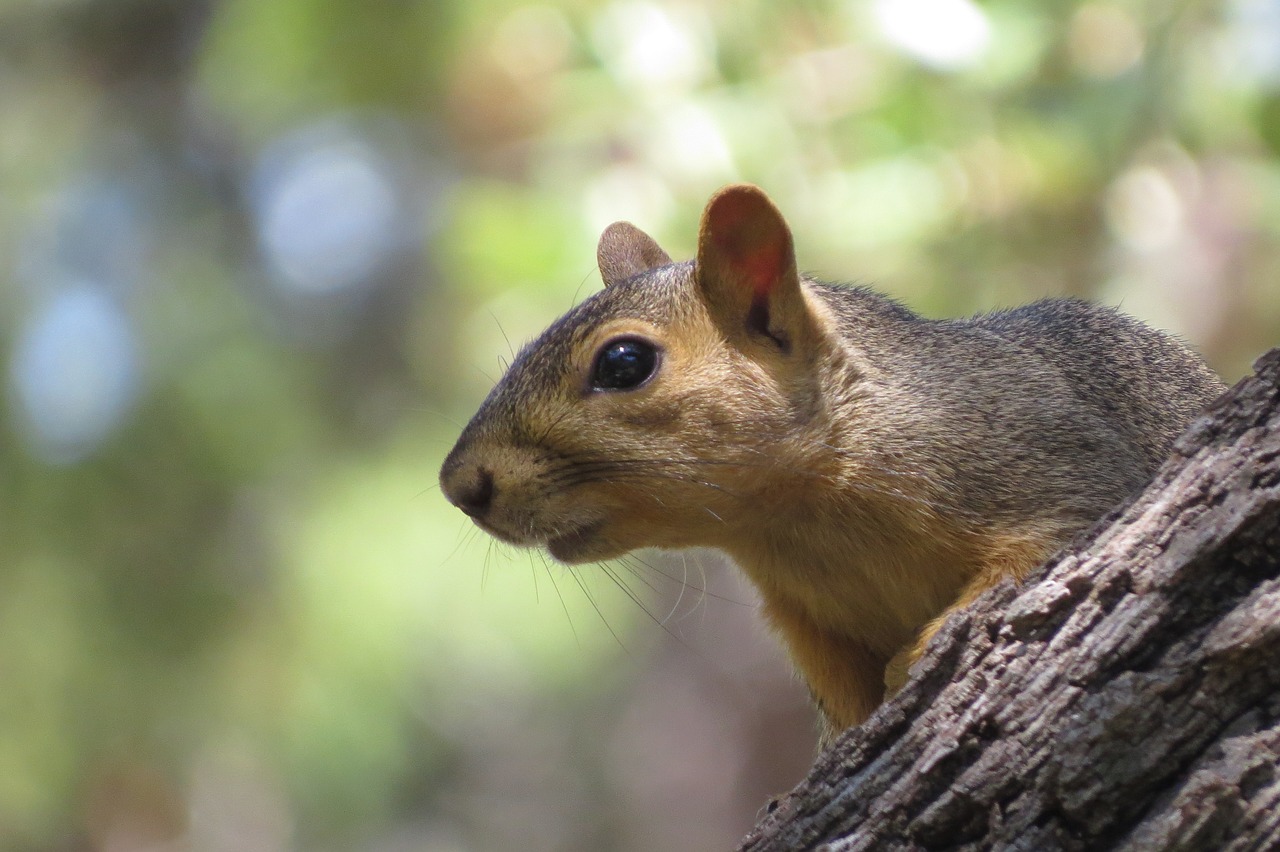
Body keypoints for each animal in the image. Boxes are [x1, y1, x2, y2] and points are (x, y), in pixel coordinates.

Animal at [442, 184, 1228, 736]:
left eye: (624, 362)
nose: (458, 485)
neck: (800, 521)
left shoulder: (1060, 463)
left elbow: (1039, 550)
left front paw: (919, 655)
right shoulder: (810, 627)